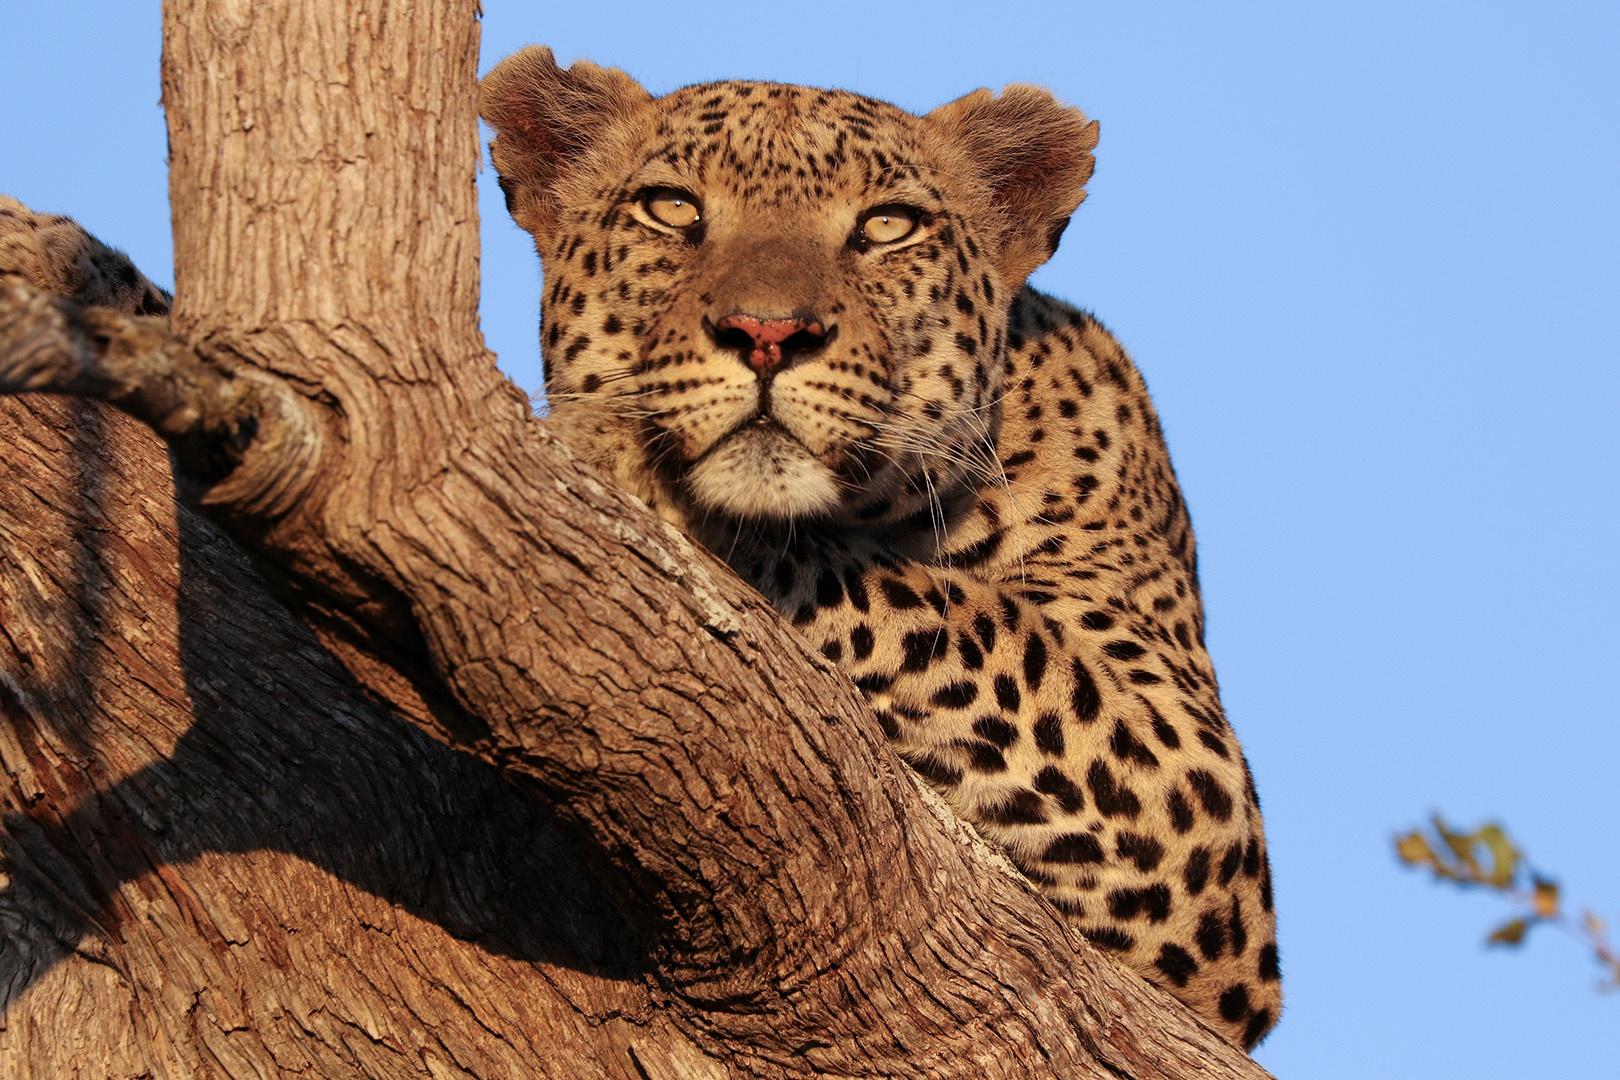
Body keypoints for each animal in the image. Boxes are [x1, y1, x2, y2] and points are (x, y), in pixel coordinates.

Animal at [479, 46, 1276, 1049]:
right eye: (673, 208)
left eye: (888, 226)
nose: (768, 335)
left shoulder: (1194, 785)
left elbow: (959, 618)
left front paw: (614, 448)